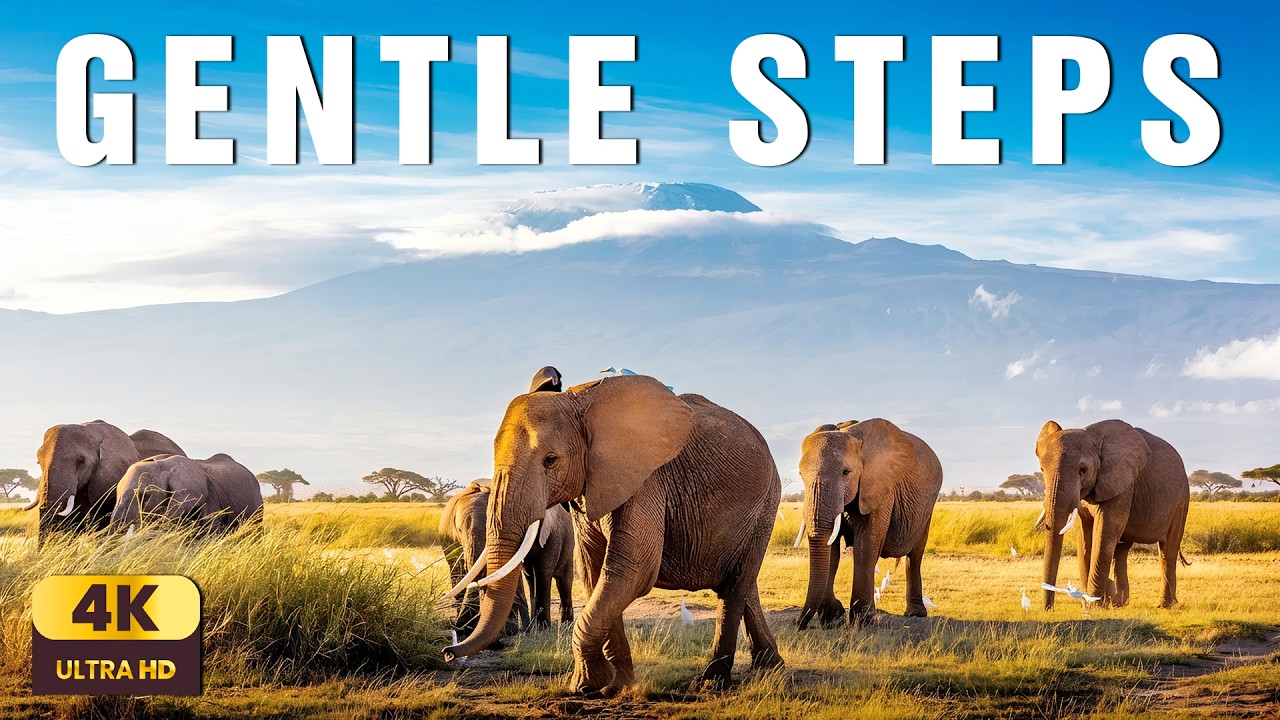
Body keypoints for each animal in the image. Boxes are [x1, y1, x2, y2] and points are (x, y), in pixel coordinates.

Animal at [443, 374, 783, 695]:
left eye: (550, 460)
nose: (448, 652)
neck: (580, 401)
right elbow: (595, 571)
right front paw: (616, 684)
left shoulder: (646, 479)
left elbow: (632, 569)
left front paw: (587, 686)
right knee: (742, 583)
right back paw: (770, 666)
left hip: (766, 502)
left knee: (735, 587)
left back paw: (713, 682)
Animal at [796, 419, 943, 628]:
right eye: (800, 474)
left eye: (846, 472)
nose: (799, 624)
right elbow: (831, 552)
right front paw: (833, 618)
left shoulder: (880, 488)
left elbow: (866, 548)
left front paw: (863, 620)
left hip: (927, 507)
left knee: (915, 556)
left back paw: (915, 614)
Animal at [1035, 419, 1190, 609]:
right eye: (1042, 470)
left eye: (1082, 471)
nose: (1048, 609)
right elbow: (1085, 536)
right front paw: (1090, 603)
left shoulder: (1122, 486)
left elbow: (1104, 533)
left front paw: (1094, 605)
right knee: (1121, 550)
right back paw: (1120, 603)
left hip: (1181, 500)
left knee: (1168, 551)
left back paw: (1164, 605)